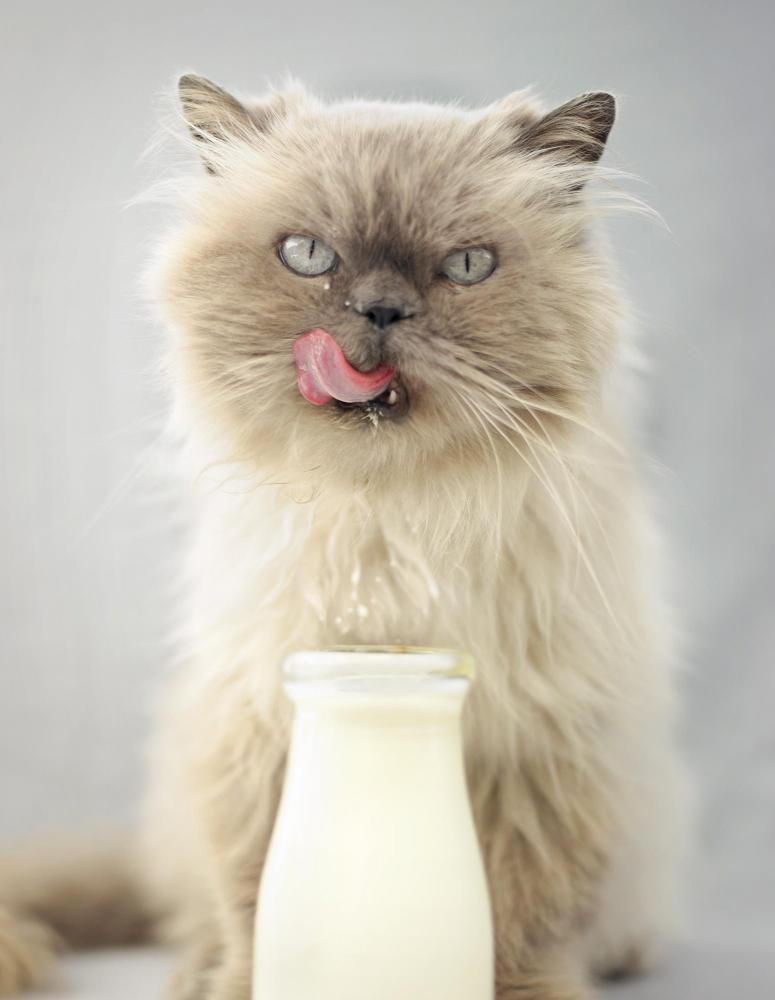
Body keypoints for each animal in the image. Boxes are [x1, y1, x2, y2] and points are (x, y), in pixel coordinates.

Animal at [0, 75, 689, 1000]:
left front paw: (518, 989)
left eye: (465, 266)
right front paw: (245, 984)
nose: (381, 310)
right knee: (188, 910)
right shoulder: (260, 722)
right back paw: (194, 969)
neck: (388, 515)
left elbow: (522, 916)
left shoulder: (537, 744)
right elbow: (257, 897)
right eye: (307, 256)